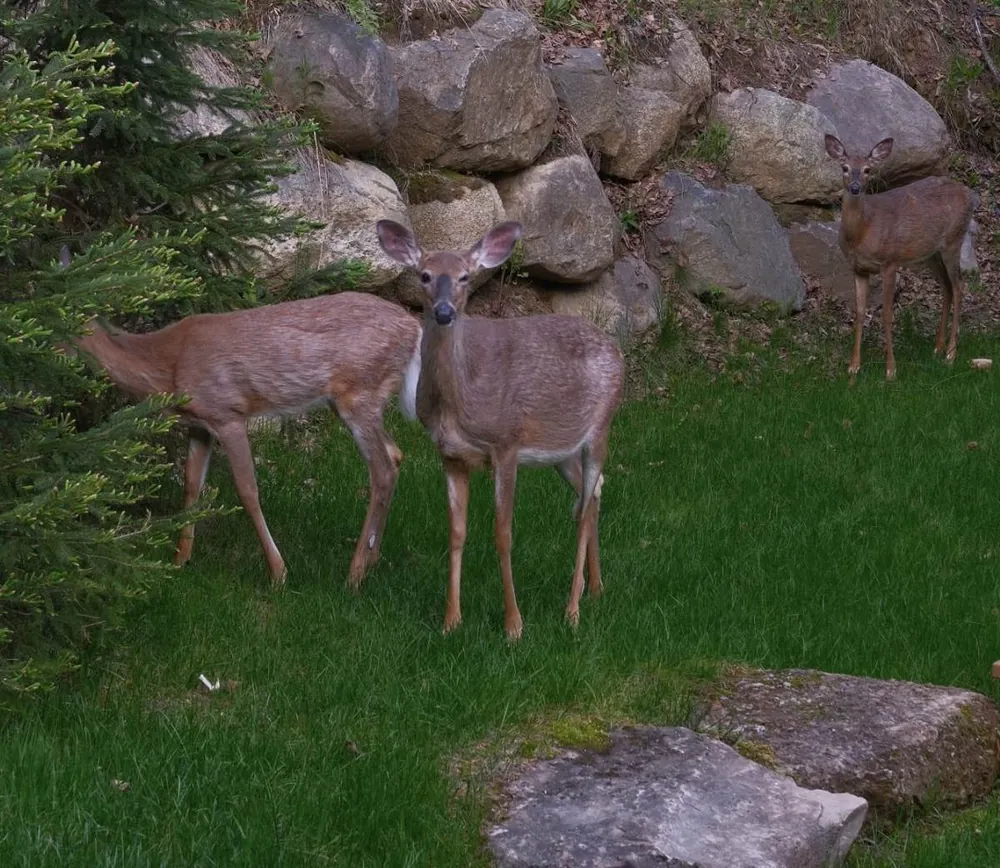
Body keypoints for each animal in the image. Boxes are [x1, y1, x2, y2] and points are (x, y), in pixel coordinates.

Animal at [72, 292, 422, 588]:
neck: (169, 364)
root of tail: (415, 328)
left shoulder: (228, 413)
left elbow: (248, 491)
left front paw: (279, 573)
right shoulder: (199, 425)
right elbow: (191, 485)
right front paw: (180, 559)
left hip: (359, 391)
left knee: (383, 469)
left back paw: (354, 574)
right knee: (395, 453)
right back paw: (371, 560)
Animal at [376, 219, 625, 641]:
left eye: (465, 276)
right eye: (424, 275)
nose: (444, 312)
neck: (460, 402)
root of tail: (617, 350)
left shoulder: (507, 443)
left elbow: (503, 533)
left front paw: (513, 625)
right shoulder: (450, 454)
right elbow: (456, 531)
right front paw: (451, 620)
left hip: (601, 425)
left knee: (585, 504)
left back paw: (572, 610)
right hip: (561, 450)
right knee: (591, 494)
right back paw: (595, 588)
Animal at [824, 134, 979, 382]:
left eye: (867, 169)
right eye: (844, 167)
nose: (855, 188)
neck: (864, 231)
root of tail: (968, 193)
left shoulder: (890, 261)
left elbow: (887, 314)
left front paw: (890, 370)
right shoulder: (858, 268)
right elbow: (859, 312)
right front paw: (853, 366)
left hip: (954, 240)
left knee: (959, 286)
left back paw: (951, 354)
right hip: (931, 254)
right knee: (946, 286)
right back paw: (938, 347)